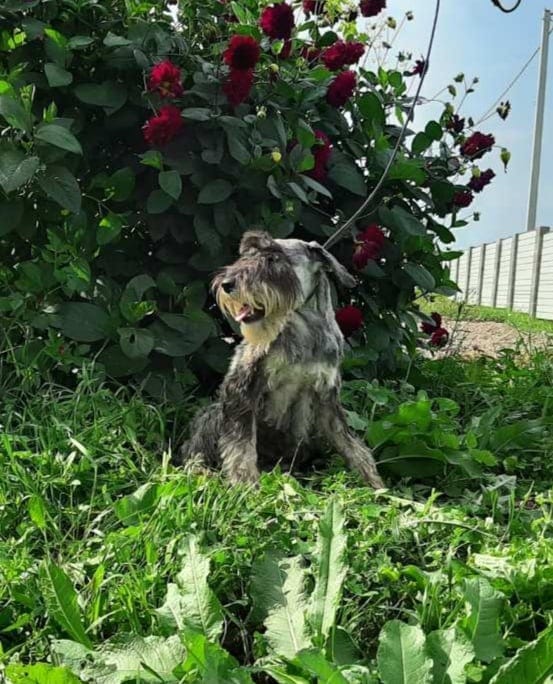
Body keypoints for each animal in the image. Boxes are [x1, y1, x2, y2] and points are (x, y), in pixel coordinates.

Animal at [179, 230, 384, 489]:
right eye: (246, 256)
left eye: (274, 259)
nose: (226, 284)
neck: (304, 330)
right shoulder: (243, 389)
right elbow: (240, 446)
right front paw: (246, 486)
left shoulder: (327, 396)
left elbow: (350, 442)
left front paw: (375, 485)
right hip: (212, 414)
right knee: (194, 450)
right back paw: (201, 472)